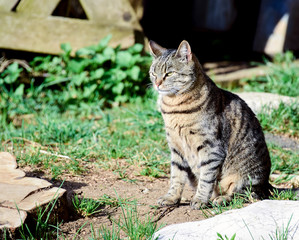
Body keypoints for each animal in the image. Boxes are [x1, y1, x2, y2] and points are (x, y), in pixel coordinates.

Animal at [149, 40, 274, 209]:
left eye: (169, 74)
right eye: (153, 73)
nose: (157, 83)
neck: (174, 109)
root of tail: (267, 184)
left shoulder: (211, 149)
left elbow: (206, 178)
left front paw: (200, 200)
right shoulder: (176, 149)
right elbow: (176, 176)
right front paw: (171, 197)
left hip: (244, 179)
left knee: (243, 194)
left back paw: (220, 199)